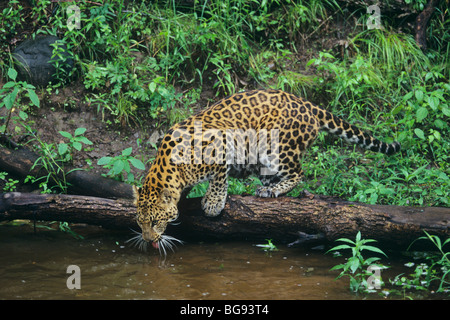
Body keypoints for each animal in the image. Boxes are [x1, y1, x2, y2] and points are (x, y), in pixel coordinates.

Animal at [132, 88, 400, 252]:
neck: (170, 167)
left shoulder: (223, 143)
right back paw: (268, 190)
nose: (148, 240)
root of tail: (307, 104)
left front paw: (213, 203)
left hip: (276, 147)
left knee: (298, 173)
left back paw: (273, 191)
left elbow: (219, 179)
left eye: (155, 222)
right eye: (140, 222)